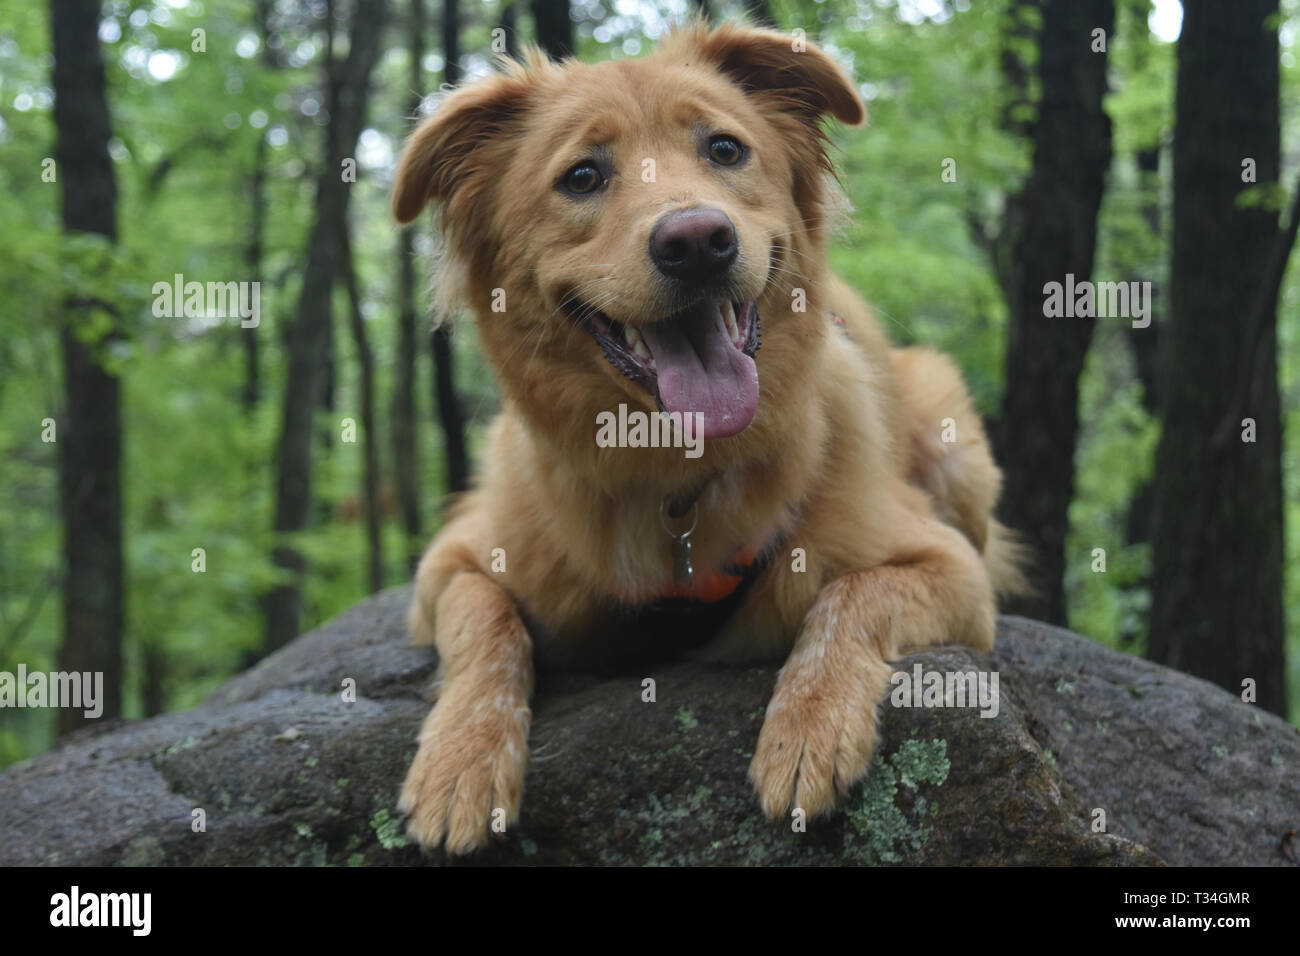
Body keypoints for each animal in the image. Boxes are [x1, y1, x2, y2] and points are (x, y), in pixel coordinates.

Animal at [384, 20, 1024, 853]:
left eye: (724, 149)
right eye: (582, 177)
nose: (696, 240)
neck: (673, 482)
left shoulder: (951, 571)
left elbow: (852, 594)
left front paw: (809, 729)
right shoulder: (452, 560)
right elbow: (483, 618)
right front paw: (460, 761)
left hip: (954, 448)